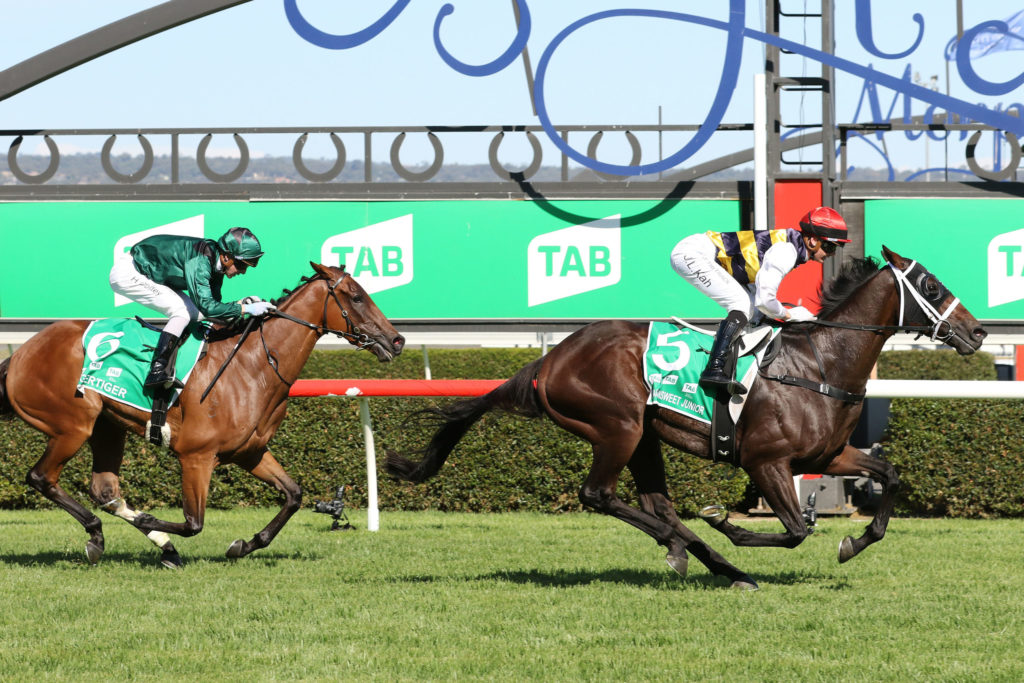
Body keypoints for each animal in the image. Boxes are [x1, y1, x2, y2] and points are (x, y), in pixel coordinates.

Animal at [0, 262, 404, 568]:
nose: (397, 340)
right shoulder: (196, 457)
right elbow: (194, 522)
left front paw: (244, 545)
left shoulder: (250, 452)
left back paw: (152, 546)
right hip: (72, 426)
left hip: (106, 426)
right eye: (357, 296)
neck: (254, 366)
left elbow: (293, 495)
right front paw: (152, 519)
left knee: (105, 490)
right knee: (41, 477)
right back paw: (101, 534)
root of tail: (21, 355)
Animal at [386, 247, 986, 589]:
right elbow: (795, 529)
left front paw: (854, 542)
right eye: (932, 287)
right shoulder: (766, 461)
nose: (978, 332)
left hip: (644, 438)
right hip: (618, 427)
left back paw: (719, 566)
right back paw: (693, 550)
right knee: (600, 496)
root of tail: (548, 361)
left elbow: (889, 477)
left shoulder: (829, 454)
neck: (820, 364)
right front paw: (729, 523)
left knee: (659, 506)